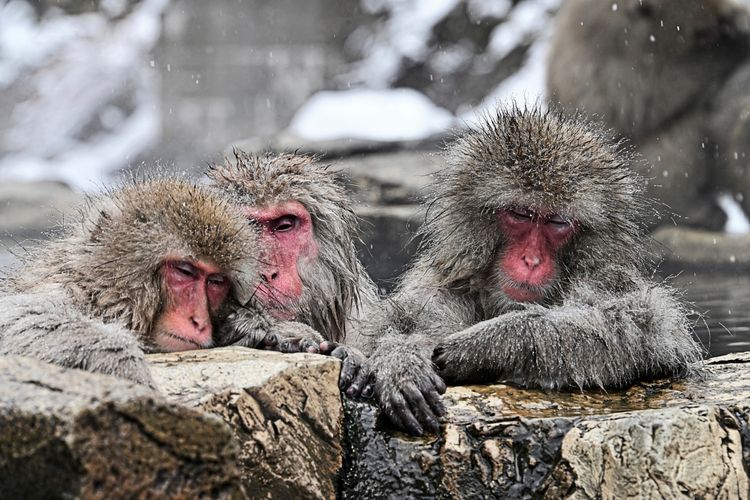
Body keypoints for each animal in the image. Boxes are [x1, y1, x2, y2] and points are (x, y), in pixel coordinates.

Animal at [0, 176, 289, 388]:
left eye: (216, 281)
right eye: (185, 271)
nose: (198, 321)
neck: (100, 295)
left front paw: (252, 324)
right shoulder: (62, 290)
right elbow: (19, 316)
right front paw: (121, 361)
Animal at [360, 106, 704, 436]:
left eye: (557, 222)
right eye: (521, 214)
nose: (531, 260)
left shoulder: (609, 275)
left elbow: (643, 322)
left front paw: (492, 342)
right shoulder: (437, 286)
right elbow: (390, 329)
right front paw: (401, 361)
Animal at [546, 0, 750, 230]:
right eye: (702, 33)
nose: (722, 32)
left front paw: (738, 20)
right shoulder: (614, 48)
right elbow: (643, 99)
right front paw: (733, 49)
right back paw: (689, 212)